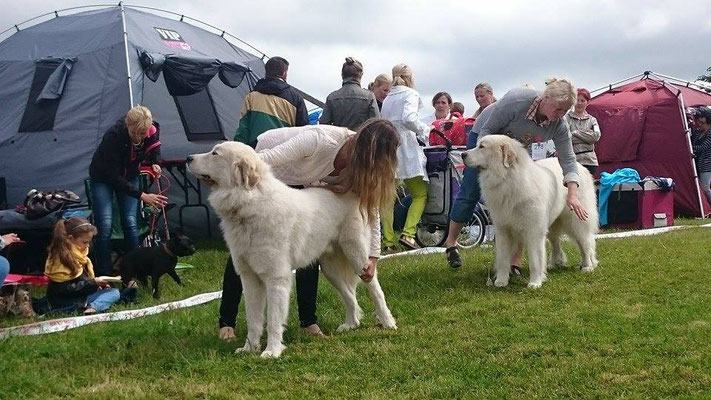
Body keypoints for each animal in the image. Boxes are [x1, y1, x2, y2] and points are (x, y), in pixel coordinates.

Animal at [186, 142, 398, 358]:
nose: (188, 158)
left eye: (215, 154)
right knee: (350, 295)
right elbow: (253, 319)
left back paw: (388, 322)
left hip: (357, 257)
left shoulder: (276, 278)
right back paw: (351, 324)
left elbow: (272, 320)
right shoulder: (249, 278)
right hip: (330, 269)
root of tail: (351, 192)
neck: (249, 204)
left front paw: (271, 351)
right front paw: (249, 348)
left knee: (375, 289)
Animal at [462, 134, 600, 288]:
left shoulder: (534, 230)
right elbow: (503, 258)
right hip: (552, 223)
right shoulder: (503, 229)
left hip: (575, 221)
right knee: (555, 242)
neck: (508, 179)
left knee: (585, 243)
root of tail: (580, 167)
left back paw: (587, 266)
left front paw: (535, 282)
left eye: (482, 146)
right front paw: (501, 281)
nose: (463, 154)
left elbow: (535, 259)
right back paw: (554, 263)